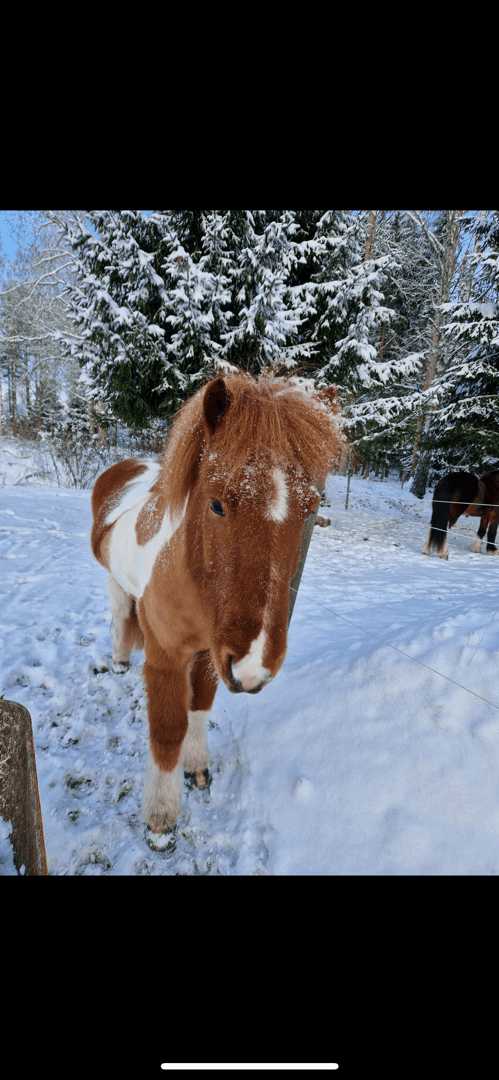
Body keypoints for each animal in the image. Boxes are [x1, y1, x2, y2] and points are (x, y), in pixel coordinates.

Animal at [90, 375, 343, 846]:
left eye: (309, 509)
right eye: (216, 503)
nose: (256, 666)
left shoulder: (212, 655)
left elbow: (199, 707)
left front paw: (196, 767)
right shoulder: (167, 656)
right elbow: (167, 728)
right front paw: (162, 814)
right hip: (112, 580)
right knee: (119, 615)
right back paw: (117, 660)